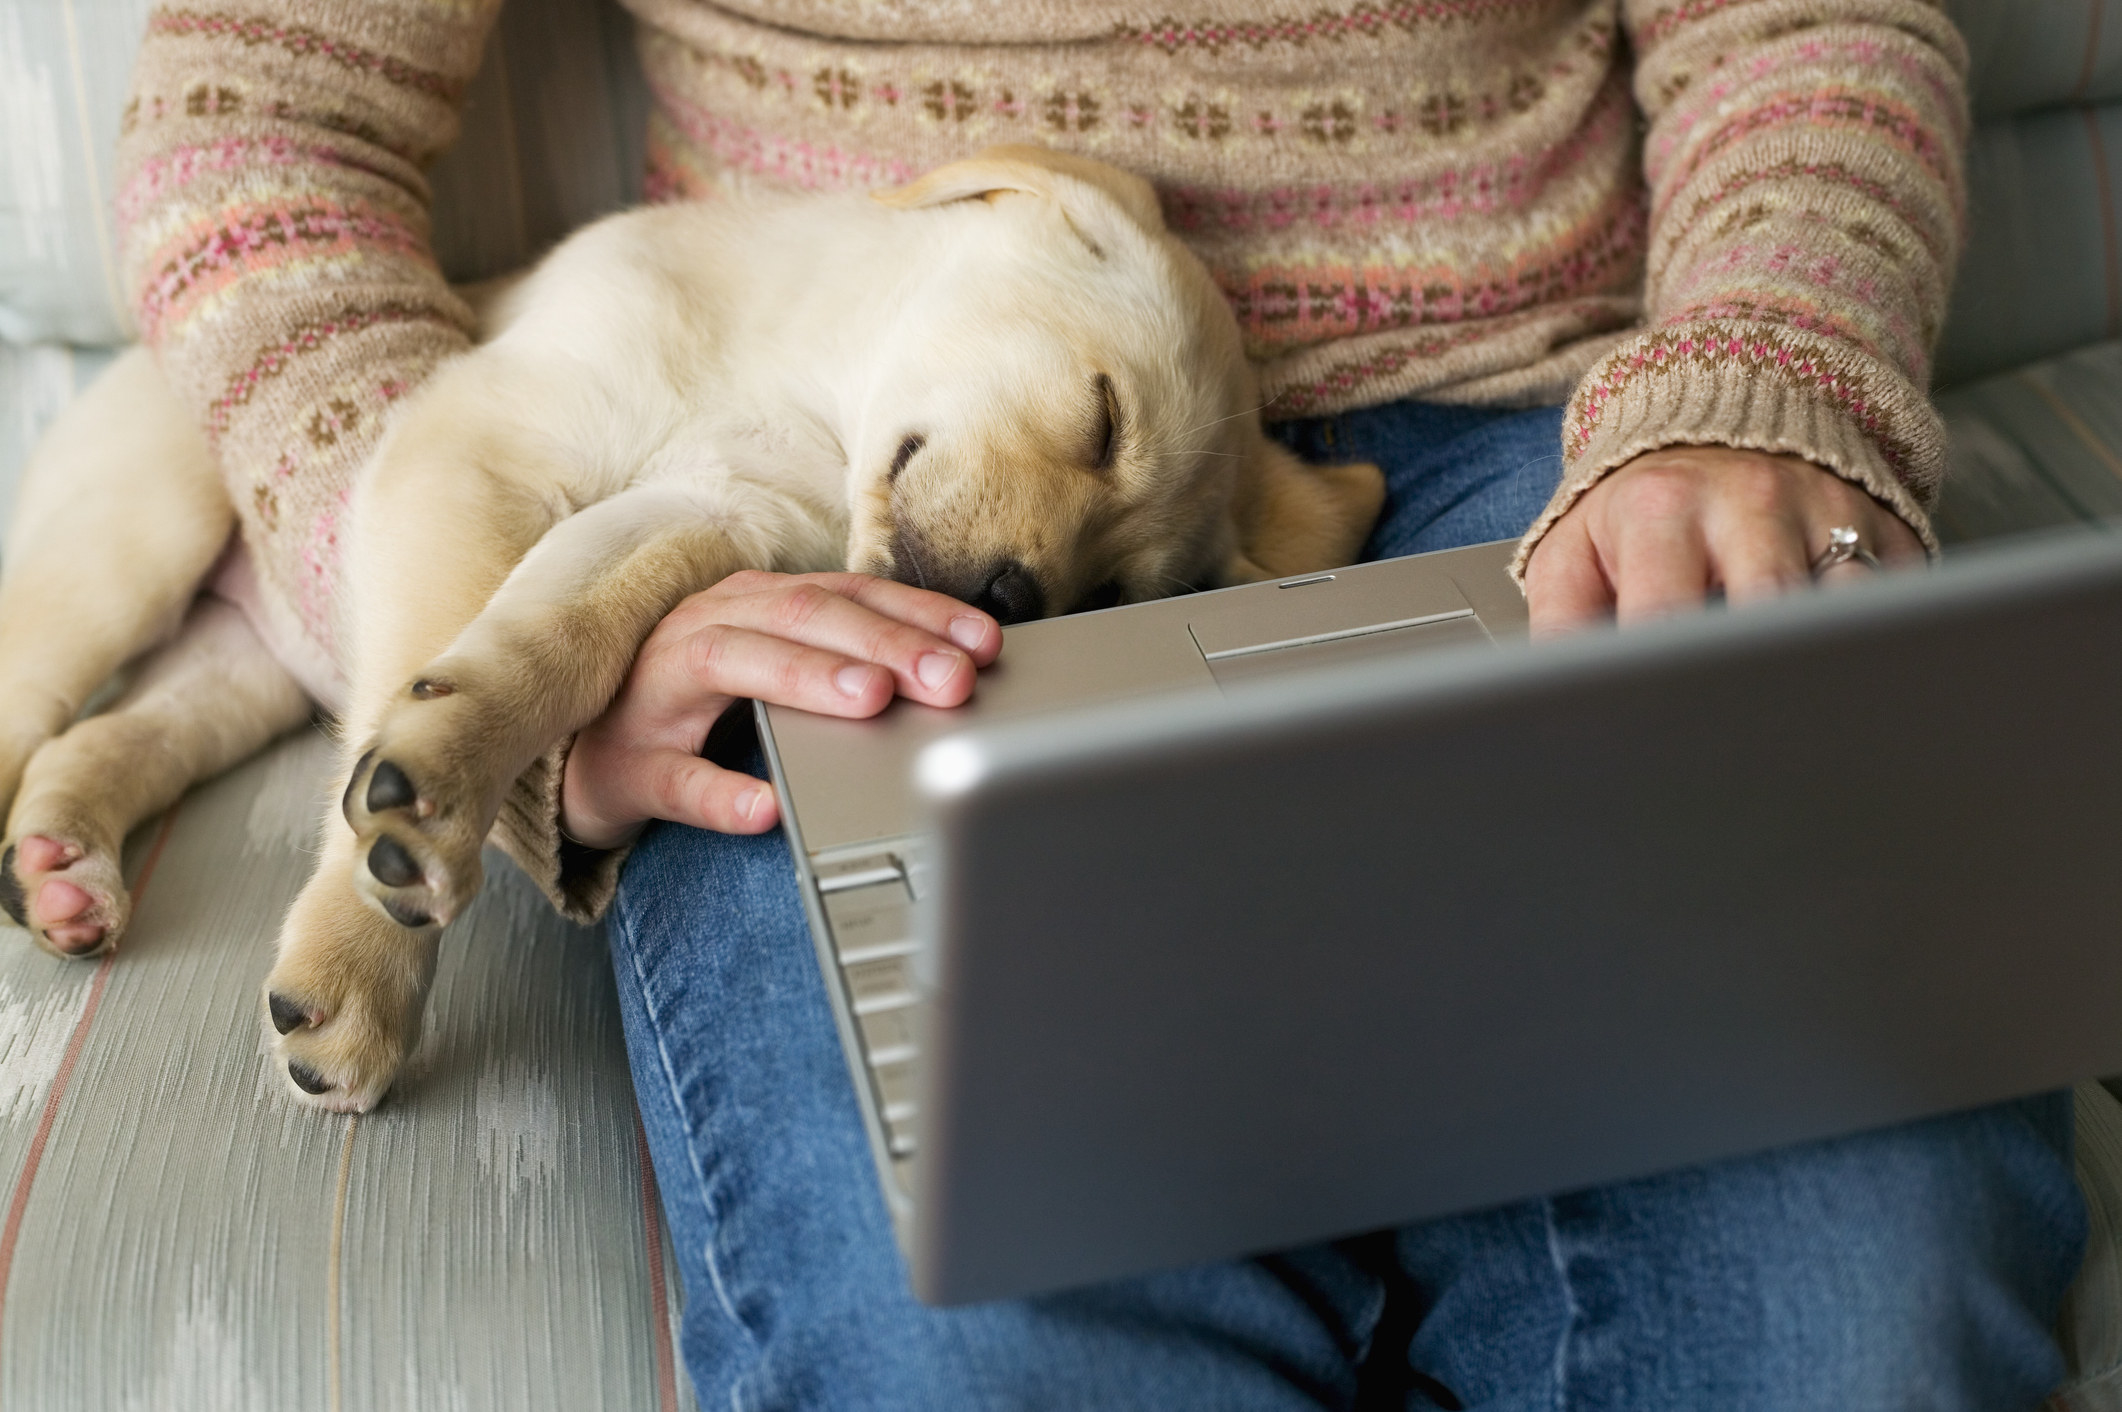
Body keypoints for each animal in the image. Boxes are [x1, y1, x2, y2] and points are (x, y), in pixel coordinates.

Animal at [0, 145, 1383, 1112]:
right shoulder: (477, 448)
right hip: (130, 543)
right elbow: (419, 683)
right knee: (37, 702)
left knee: (110, 738)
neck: (805, 388)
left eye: (1112, 594)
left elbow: (550, 642)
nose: (1006, 601)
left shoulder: (696, 515)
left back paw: (63, 866)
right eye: (1103, 420)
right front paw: (370, 933)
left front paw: (444, 772)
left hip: (237, 668)